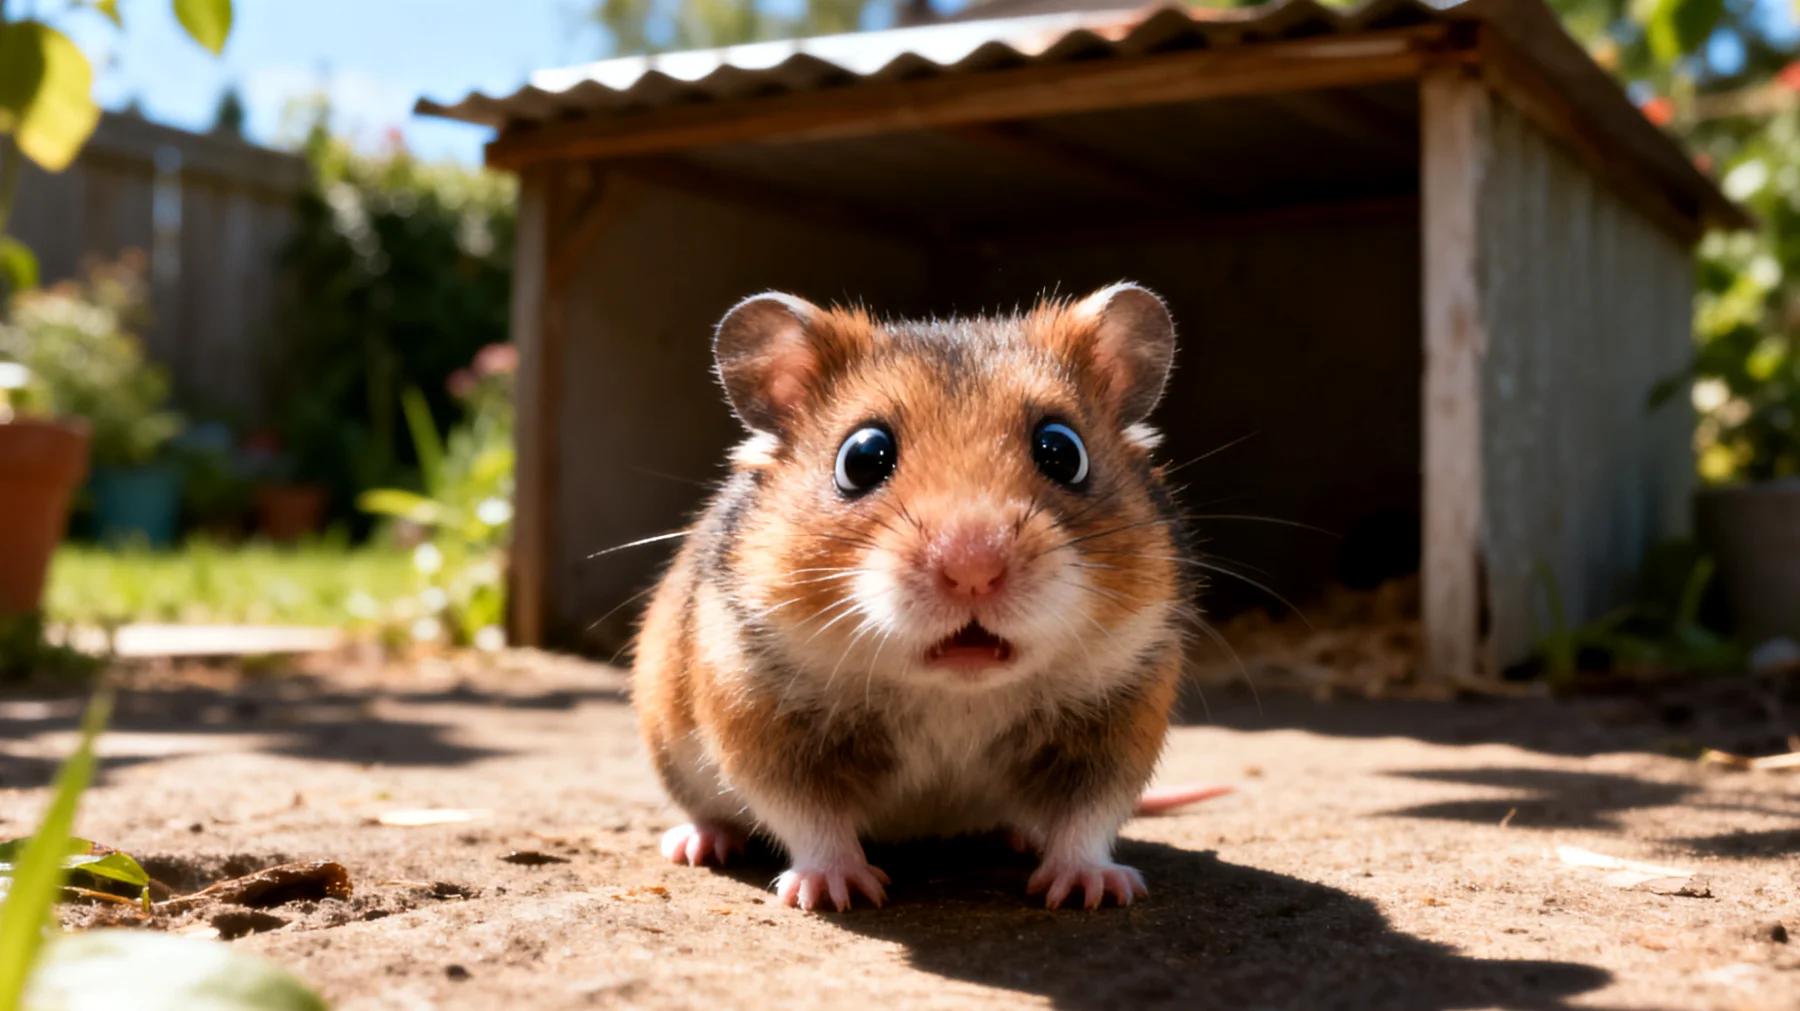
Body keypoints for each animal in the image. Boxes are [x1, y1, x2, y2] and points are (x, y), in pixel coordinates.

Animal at [632, 283, 1199, 912]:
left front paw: (1091, 891)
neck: (953, 696)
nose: (974, 569)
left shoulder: (1121, 723)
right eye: (861, 458)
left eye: (1063, 450)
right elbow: (811, 819)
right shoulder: (761, 723)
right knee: (711, 814)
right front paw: (836, 893)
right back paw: (697, 844)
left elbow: (1089, 818)